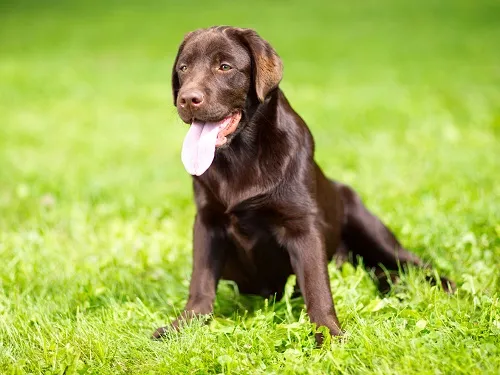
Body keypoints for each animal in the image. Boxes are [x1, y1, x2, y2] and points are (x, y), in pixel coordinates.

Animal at [153, 25, 458, 344]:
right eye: (183, 68)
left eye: (224, 67)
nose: (187, 99)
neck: (240, 156)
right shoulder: (207, 222)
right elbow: (200, 282)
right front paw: (182, 325)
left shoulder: (303, 225)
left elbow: (317, 286)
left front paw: (329, 334)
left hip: (368, 224)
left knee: (406, 261)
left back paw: (438, 285)